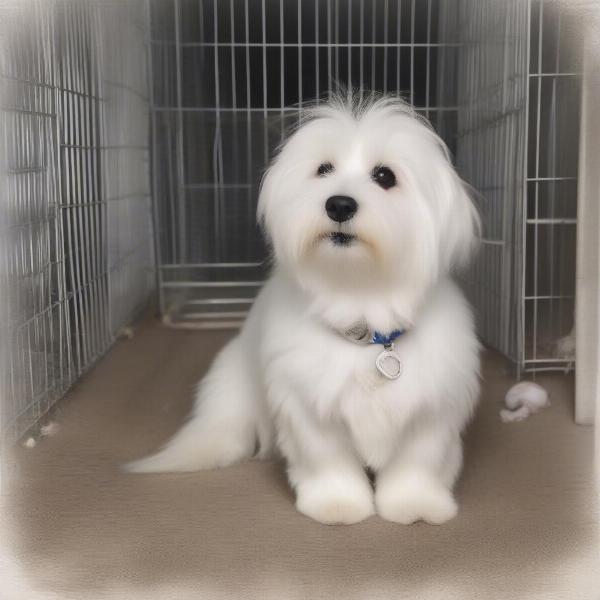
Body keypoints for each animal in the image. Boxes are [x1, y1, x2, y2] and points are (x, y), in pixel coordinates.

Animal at [127, 95, 482, 524]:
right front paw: (338, 504)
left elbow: (417, 462)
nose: (339, 204)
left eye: (385, 176)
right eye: (323, 169)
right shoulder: (306, 404)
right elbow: (327, 459)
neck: (361, 306)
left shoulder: (431, 407)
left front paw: (414, 504)